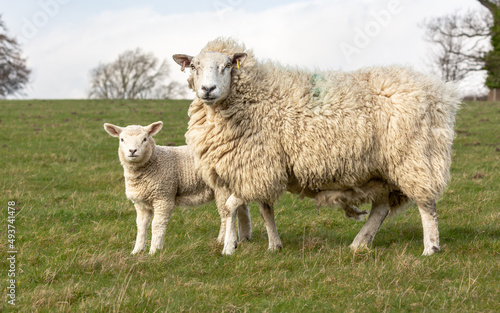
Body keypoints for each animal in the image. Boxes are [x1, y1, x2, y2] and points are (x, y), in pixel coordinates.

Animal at [102, 120, 250, 254]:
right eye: (122, 139)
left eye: (144, 139)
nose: (132, 151)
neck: (154, 162)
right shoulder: (141, 203)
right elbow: (141, 226)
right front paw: (136, 251)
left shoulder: (163, 196)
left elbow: (157, 224)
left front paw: (154, 251)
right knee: (241, 209)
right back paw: (243, 239)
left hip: (222, 189)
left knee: (226, 215)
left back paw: (222, 240)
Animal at [173, 37, 460, 255]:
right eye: (194, 66)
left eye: (227, 65)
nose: (208, 89)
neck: (252, 98)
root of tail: (439, 93)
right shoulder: (262, 168)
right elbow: (262, 209)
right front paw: (272, 245)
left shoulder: (257, 168)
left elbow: (231, 206)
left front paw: (230, 246)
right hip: (382, 169)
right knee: (381, 208)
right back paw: (360, 243)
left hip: (414, 156)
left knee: (426, 204)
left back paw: (430, 248)